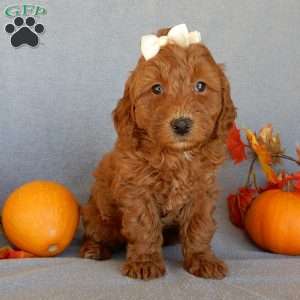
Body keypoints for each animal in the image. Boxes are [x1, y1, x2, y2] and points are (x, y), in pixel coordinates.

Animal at [80, 24, 237, 280]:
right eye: (156, 89)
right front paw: (144, 261)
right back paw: (94, 249)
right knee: (96, 232)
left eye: (200, 86)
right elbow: (144, 226)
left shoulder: (202, 190)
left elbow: (199, 226)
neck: (176, 156)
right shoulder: (138, 189)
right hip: (99, 215)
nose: (181, 124)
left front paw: (202, 259)